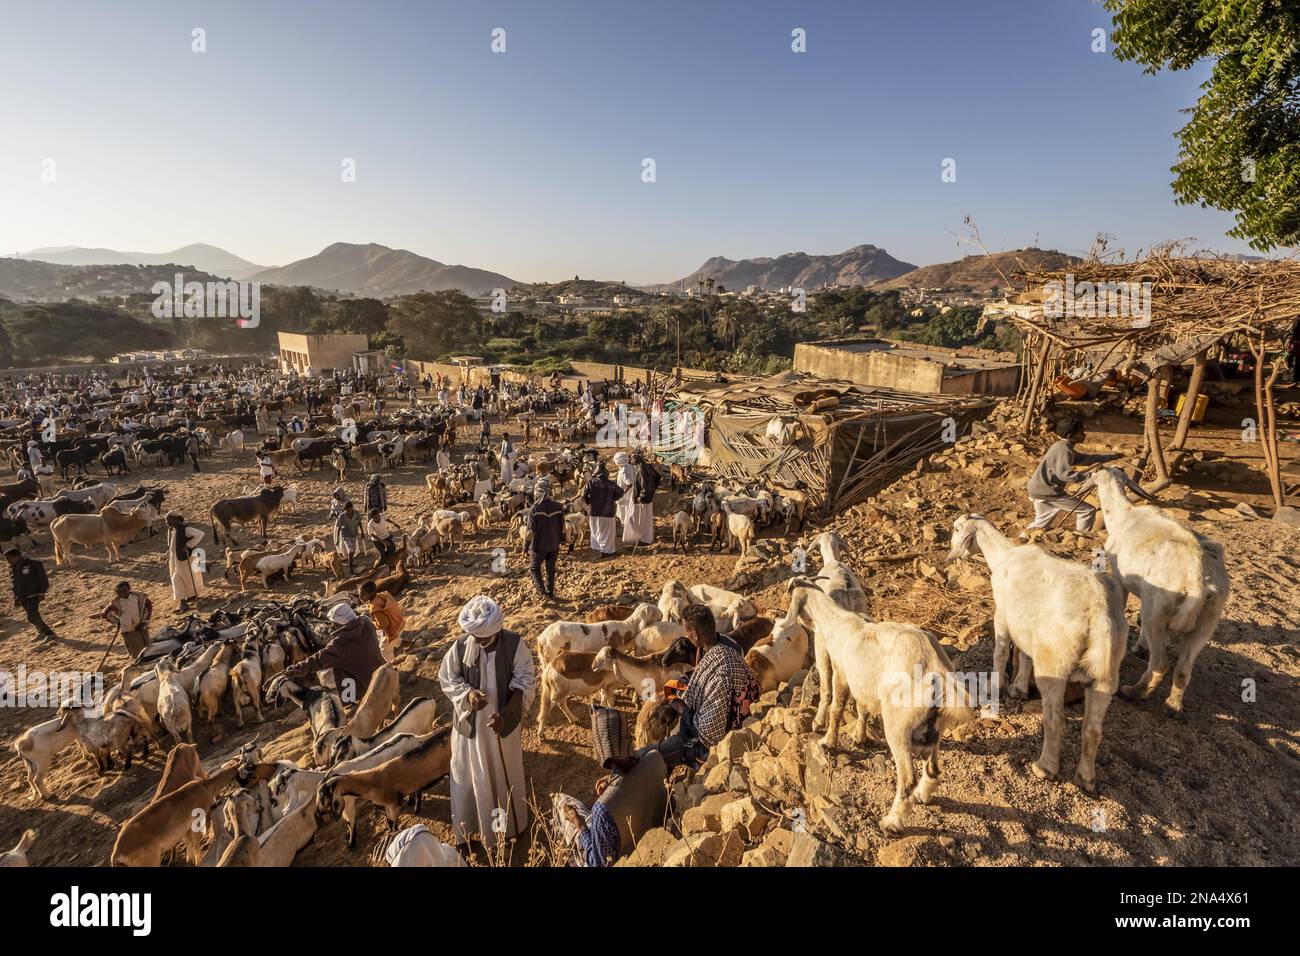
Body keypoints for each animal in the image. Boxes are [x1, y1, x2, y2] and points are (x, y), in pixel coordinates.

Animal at [780, 580, 977, 832]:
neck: (838, 621)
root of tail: (938, 672)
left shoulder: (842, 673)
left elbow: (837, 707)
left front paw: (827, 741)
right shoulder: (863, 682)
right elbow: (862, 708)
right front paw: (859, 736)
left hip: (898, 725)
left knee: (907, 779)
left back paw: (892, 822)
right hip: (935, 727)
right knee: (933, 769)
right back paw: (923, 796)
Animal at [946, 515, 1128, 790]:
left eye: (957, 529)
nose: (950, 554)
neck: (1003, 555)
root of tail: (1098, 617)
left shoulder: (1002, 614)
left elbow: (1001, 652)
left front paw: (995, 686)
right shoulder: (1027, 628)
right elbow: (1024, 656)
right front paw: (1019, 688)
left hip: (1055, 662)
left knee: (1055, 719)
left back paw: (1045, 767)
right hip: (1106, 673)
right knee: (1093, 729)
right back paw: (1085, 778)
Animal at [1086, 468, 1227, 712]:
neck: (1124, 516)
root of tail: (1198, 583)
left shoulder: (1120, 579)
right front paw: (1140, 648)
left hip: (1158, 610)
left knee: (1160, 662)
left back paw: (1132, 692)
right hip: (1208, 619)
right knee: (1184, 667)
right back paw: (1172, 707)